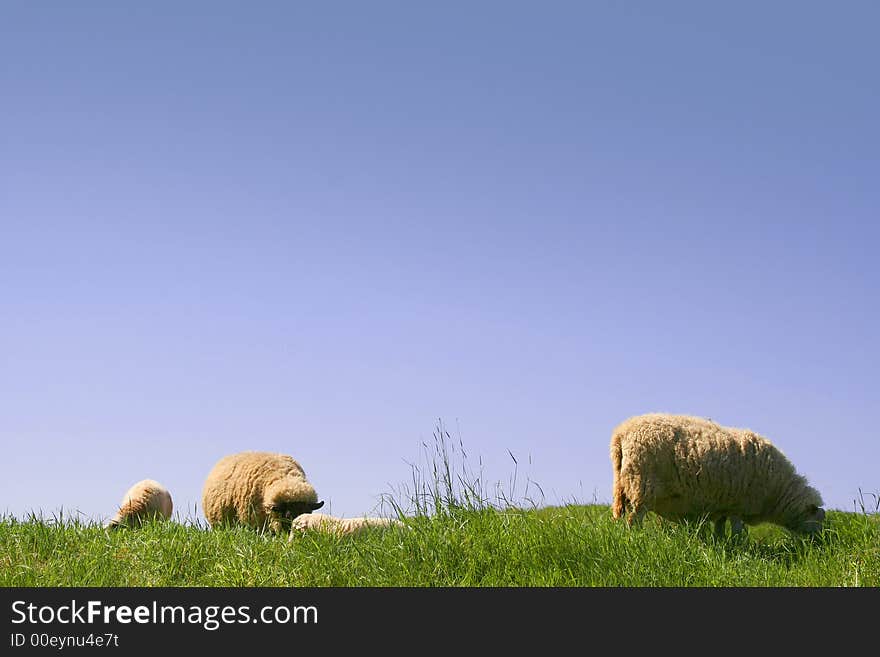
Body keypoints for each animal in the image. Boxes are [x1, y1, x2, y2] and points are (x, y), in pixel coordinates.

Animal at [612, 412, 824, 536]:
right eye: (818, 521)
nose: (820, 545)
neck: (777, 491)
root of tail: (622, 433)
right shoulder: (740, 504)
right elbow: (738, 532)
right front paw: (739, 548)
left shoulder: (724, 505)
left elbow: (720, 531)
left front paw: (721, 545)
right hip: (642, 485)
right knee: (634, 519)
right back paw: (636, 539)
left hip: (625, 485)